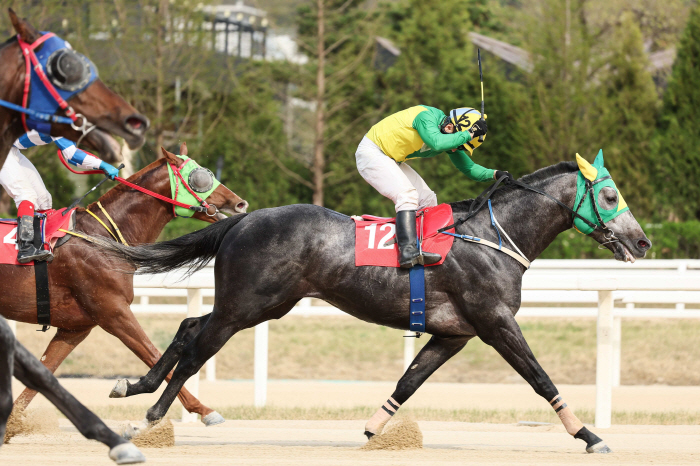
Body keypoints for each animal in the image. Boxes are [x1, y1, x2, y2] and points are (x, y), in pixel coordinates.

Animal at [2, 144, 247, 424]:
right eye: (201, 176)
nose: (240, 203)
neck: (103, 237)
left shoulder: (75, 328)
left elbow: (44, 371)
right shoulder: (114, 312)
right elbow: (152, 354)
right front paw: (204, 411)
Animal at [100, 156, 652, 452]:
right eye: (609, 196)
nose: (643, 243)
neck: (491, 237)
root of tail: (243, 219)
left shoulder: (454, 334)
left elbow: (408, 382)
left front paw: (372, 429)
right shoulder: (495, 323)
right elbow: (540, 378)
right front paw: (588, 434)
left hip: (255, 304)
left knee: (189, 326)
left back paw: (135, 386)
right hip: (248, 306)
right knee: (197, 347)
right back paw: (149, 417)